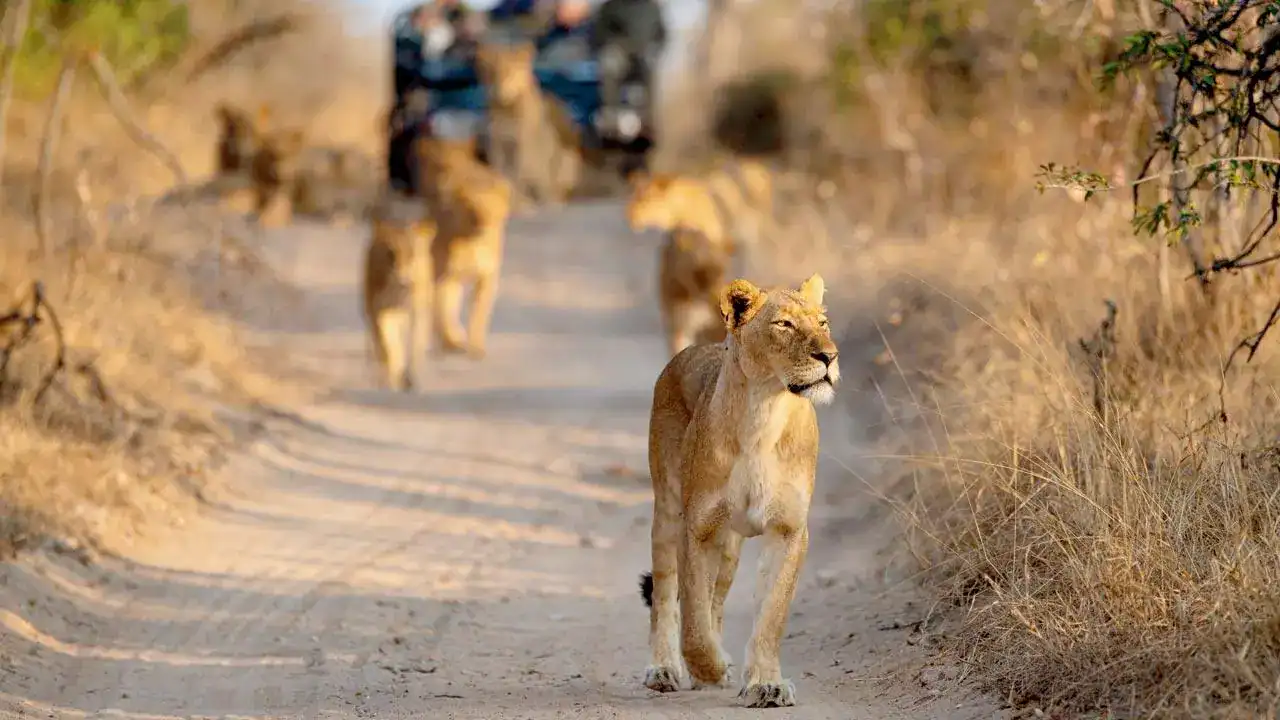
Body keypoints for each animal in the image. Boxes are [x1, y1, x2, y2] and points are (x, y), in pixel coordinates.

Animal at [363, 196, 437, 391]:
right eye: (391, 253)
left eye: (411, 253)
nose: (401, 275)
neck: (398, 289)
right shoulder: (378, 311)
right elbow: (390, 345)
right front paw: (396, 374)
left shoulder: (418, 312)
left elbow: (415, 346)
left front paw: (409, 378)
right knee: (381, 346)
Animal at [475, 42, 582, 205]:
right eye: (492, 74)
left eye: (511, 73)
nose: (498, 90)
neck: (507, 110)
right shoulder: (497, 146)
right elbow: (502, 174)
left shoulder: (523, 148)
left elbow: (518, 179)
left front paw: (519, 201)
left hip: (566, 159)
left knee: (553, 189)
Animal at [638, 273, 839, 709]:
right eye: (784, 324)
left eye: (823, 323)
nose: (830, 357)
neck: (765, 410)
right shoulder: (695, 528)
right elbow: (692, 623)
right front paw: (710, 668)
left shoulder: (788, 530)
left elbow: (771, 614)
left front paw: (767, 684)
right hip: (668, 511)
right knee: (665, 594)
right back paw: (664, 669)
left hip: (729, 545)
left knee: (715, 598)